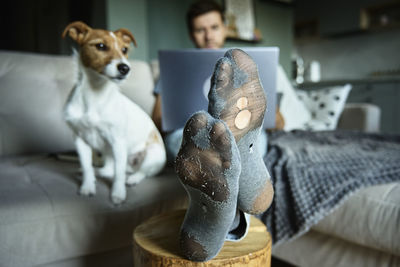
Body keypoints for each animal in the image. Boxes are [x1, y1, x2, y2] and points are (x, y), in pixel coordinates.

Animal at [61, 21, 165, 205]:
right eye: (101, 46)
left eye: (124, 49)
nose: (125, 68)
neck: (94, 94)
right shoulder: (80, 140)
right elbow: (87, 167)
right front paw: (87, 186)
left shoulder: (118, 142)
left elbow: (118, 175)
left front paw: (118, 194)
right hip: (108, 154)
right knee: (110, 170)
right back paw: (98, 173)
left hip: (152, 155)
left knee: (141, 172)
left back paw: (132, 179)